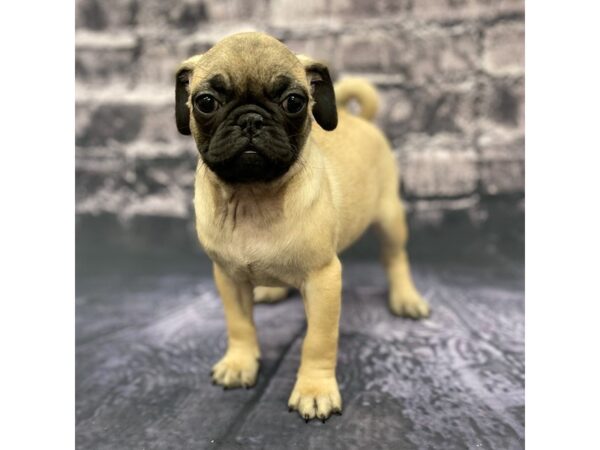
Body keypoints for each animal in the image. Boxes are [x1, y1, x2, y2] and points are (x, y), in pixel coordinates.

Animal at [176, 32, 428, 422]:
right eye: (205, 102)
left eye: (294, 102)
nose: (251, 120)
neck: (253, 197)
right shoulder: (228, 277)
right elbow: (239, 325)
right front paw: (239, 364)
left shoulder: (323, 280)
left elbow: (318, 341)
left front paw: (314, 390)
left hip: (389, 218)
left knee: (395, 258)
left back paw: (405, 298)